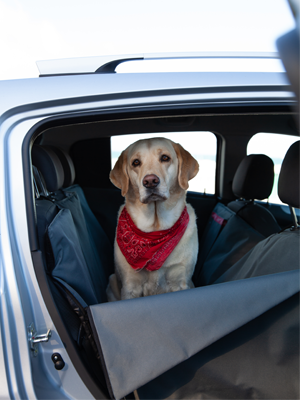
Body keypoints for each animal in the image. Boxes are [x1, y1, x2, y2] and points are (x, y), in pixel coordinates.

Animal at [106, 138, 199, 300]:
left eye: (165, 158)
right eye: (136, 162)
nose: (150, 181)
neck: (156, 230)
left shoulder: (180, 282)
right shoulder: (130, 286)